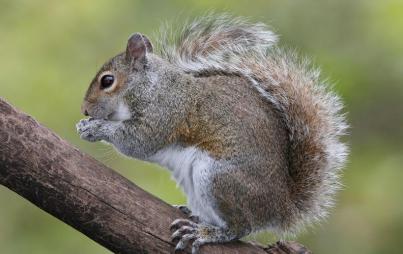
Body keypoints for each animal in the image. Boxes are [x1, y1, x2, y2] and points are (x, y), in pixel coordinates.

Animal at [76, 14, 350, 253]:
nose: (85, 109)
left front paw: (95, 128)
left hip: (218, 178)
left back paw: (205, 232)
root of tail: (282, 207)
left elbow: (138, 141)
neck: (150, 86)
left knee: (241, 227)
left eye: (107, 81)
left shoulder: (164, 113)